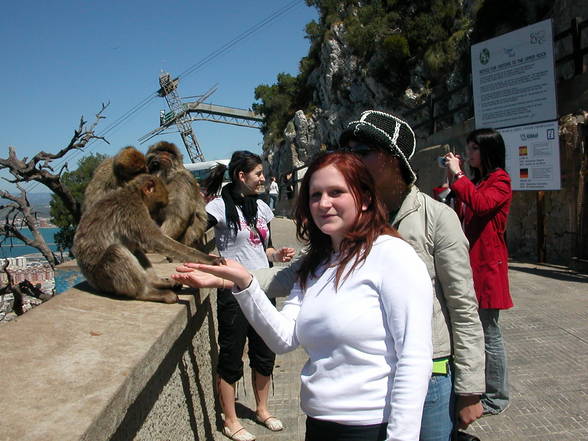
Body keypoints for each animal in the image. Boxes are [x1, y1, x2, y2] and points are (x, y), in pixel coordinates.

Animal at [72, 172, 223, 302]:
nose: (156, 216)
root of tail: (91, 281)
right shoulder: (133, 211)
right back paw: (146, 293)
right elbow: (157, 240)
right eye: (160, 204)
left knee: (133, 249)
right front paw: (209, 259)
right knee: (116, 251)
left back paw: (156, 282)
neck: (134, 194)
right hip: (102, 279)